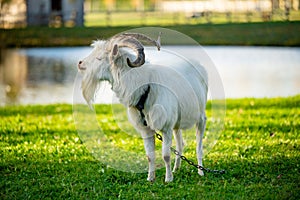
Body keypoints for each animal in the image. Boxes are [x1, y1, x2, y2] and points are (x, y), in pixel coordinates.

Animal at [78, 32, 207, 181]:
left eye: (99, 58)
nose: (80, 63)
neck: (146, 87)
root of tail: (197, 64)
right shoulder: (146, 130)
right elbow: (150, 156)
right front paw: (150, 179)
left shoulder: (166, 128)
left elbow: (165, 155)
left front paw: (168, 179)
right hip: (177, 122)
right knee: (180, 143)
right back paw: (177, 168)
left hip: (200, 117)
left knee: (199, 145)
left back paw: (200, 172)